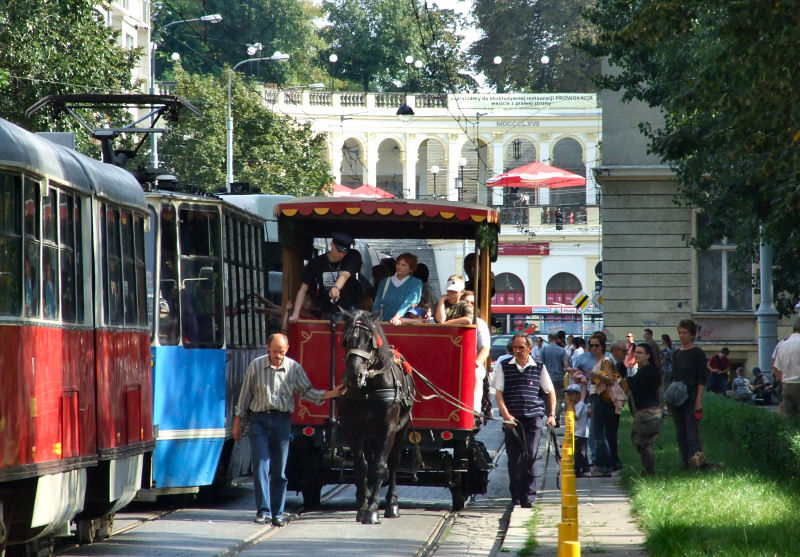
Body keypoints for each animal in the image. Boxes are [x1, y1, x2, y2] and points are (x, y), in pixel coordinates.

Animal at [338, 310, 416, 524]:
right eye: (346, 340)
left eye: (369, 340)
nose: (354, 375)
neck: (369, 388)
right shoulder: (353, 429)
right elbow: (362, 466)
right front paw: (363, 506)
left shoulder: (388, 429)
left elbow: (381, 467)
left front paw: (372, 509)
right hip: (370, 436)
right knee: (371, 464)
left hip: (401, 431)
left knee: (394, 463)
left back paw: (391, 505)